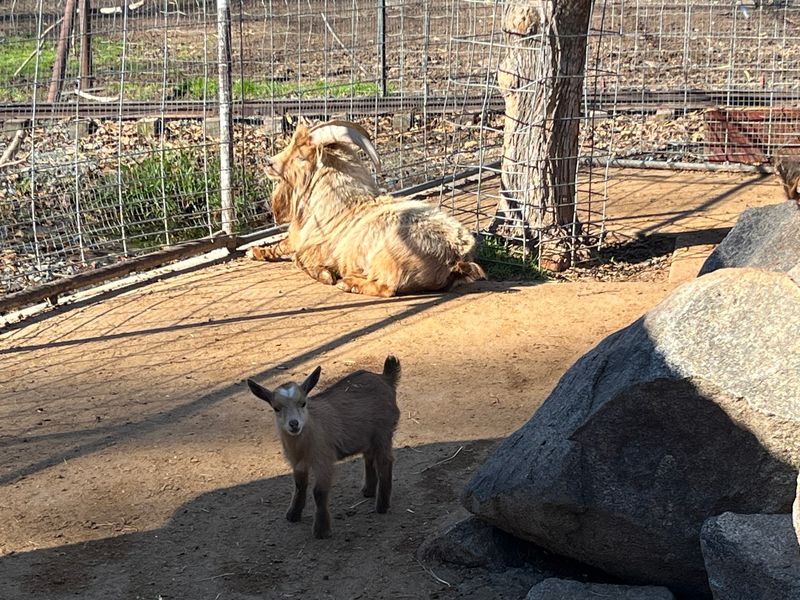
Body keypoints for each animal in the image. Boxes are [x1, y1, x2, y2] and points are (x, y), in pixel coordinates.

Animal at [246, 355, 401, 539]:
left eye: (303, 403)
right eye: (276, 408)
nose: (294, 424)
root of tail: (386, 378)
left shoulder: (323, 460)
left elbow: (319, 492)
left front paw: (321, 530)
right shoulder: (297, 463)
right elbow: (299, 485)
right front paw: (293, 514)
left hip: (383, 432)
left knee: (385, 461)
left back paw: (382, 506)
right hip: (367, 436)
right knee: (369, 457)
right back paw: (368, 491)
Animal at [248, 119, 486, 297]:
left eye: (300, 156)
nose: (268, 163)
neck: (339, 204)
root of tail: (457, 255)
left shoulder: (316, 248)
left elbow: (298, 259)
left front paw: (326, 275)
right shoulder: (297, 239)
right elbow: (282, 245)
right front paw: (256, 251)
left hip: (388, 260)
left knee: (387, 288)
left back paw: (349, 283)